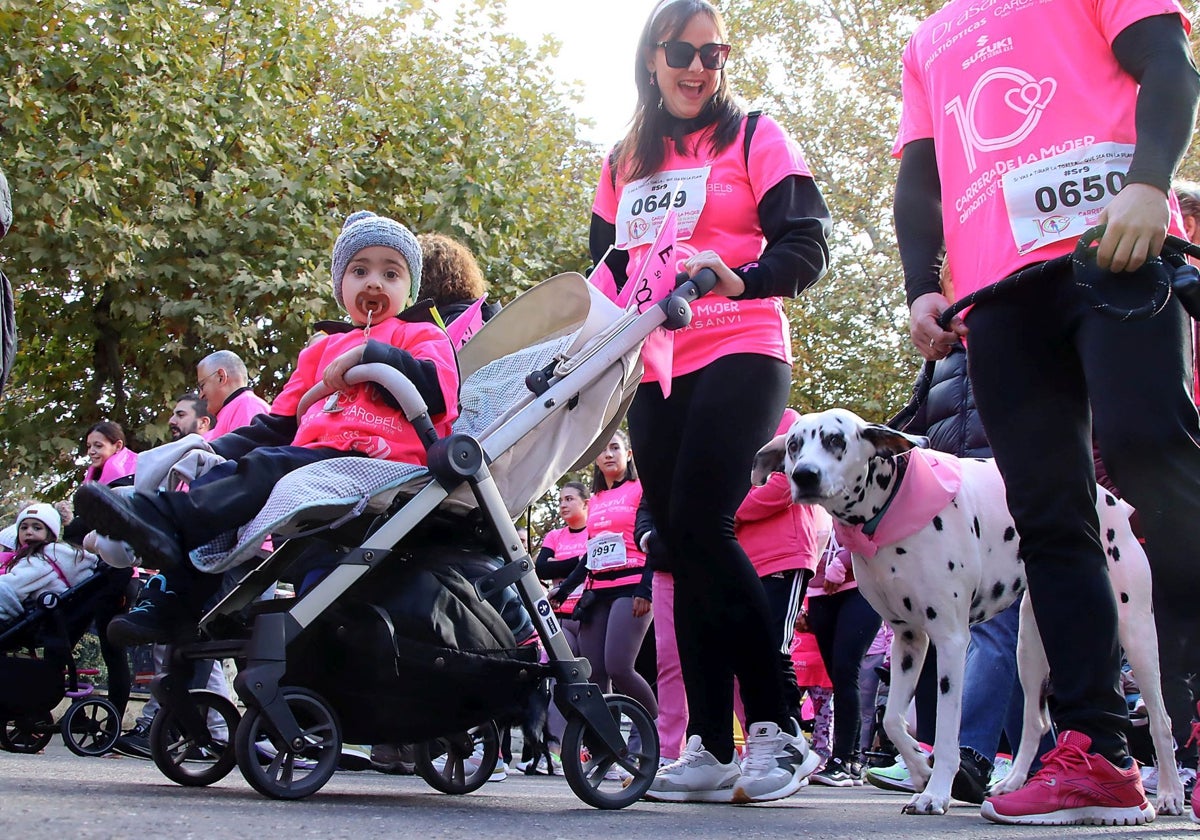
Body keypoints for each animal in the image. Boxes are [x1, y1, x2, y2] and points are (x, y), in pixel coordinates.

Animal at [753, 410, 1176, 816]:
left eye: (835, 440)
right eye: (793, 446)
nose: (804, 475)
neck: (890, 507)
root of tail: (1113, 502)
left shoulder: (951, 643)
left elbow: (945, 731)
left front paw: (935, 793)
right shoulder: (909, 640)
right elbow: (892, 720)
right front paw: (920, 767)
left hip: (1137, 635)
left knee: (1161, 719)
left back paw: (1170, 795)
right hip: (1029, 649)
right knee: (1036, 721)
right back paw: (1013, 785)